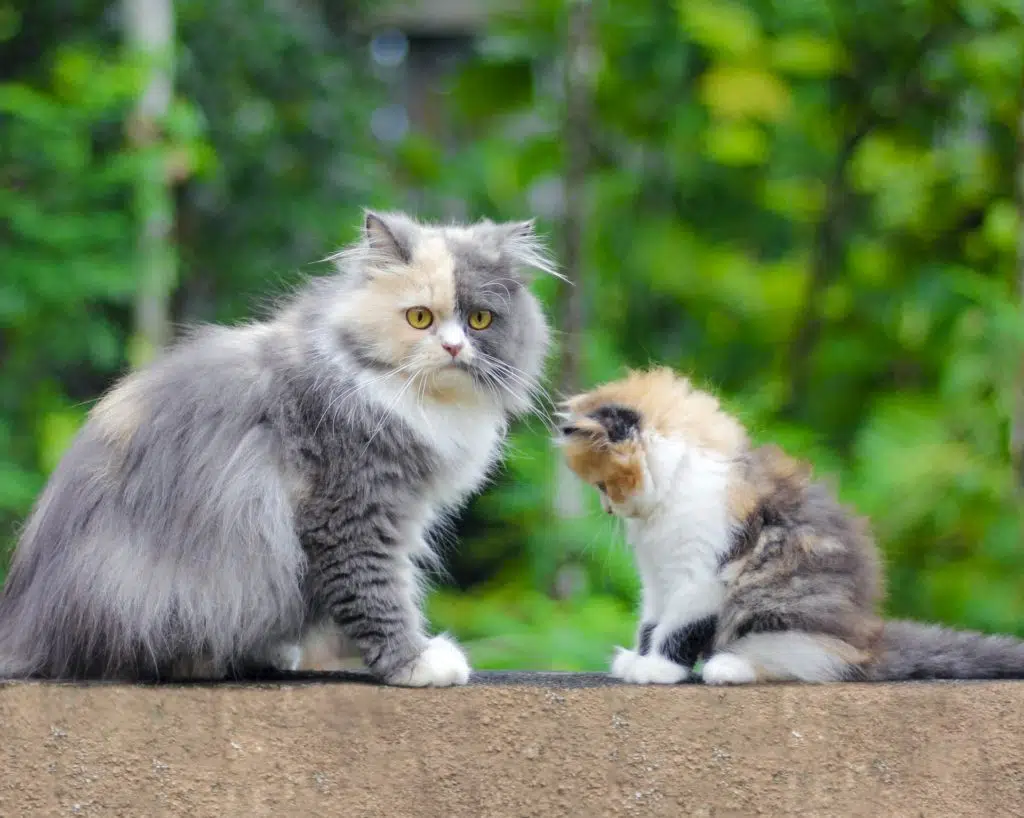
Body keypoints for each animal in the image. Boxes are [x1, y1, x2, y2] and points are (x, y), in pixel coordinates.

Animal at [0, 209, 557, 683]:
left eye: (480, 320)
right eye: (419, 318)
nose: (453, 347)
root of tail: (25, 629)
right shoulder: (352, 511)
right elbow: (378, 594)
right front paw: (417, 663)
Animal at [557, 366, 1024, 683]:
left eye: (603, 485)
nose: (608, 509)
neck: (677, 487)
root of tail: (868, 642)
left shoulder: (701, 576)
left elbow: (678, 626)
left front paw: (657, 668)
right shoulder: (657, 577)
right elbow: (651, 621)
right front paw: (638, 658)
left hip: (782, 613)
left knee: (811, 659)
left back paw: (729, 665)